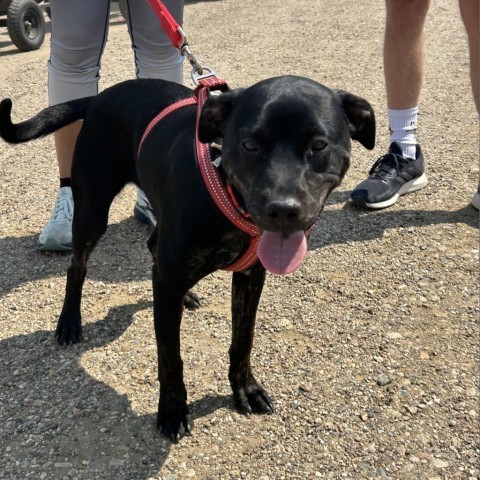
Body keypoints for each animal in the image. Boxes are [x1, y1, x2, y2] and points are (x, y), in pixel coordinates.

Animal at [0, 76, 376, 442]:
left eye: (319, 145)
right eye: (249, 145)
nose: (283, 211)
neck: (227, 193)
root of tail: (100, 96)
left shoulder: (250, 276)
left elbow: (243, 338)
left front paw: (244, 387)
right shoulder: (167, 285)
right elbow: (171, 357)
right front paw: (172, 410)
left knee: (152, 244)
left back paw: (186, 295)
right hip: (92, 211)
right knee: (76, 266)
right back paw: (69, 322)